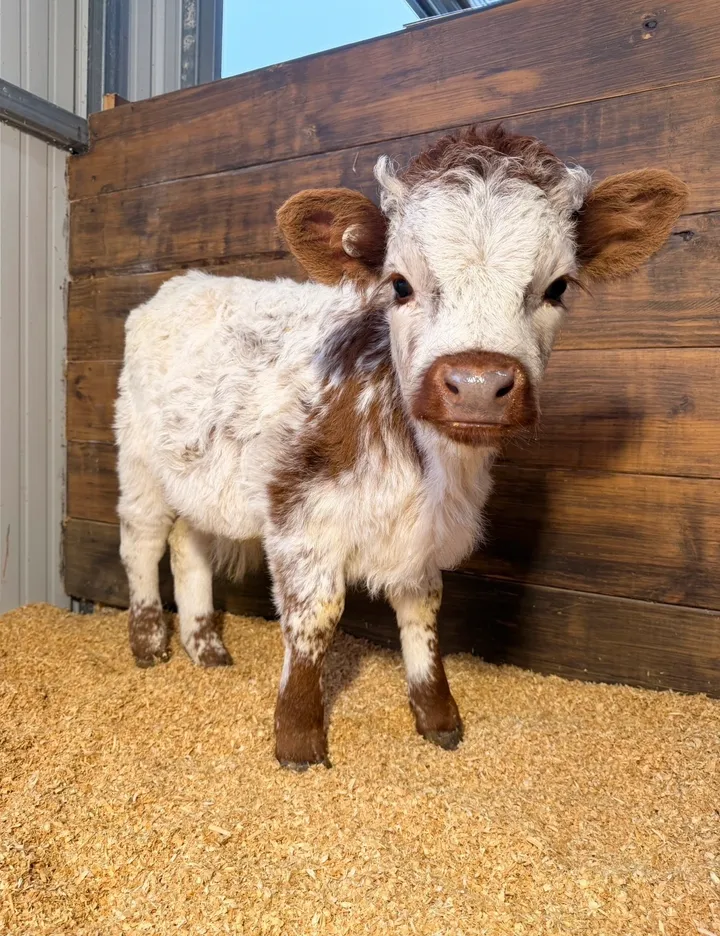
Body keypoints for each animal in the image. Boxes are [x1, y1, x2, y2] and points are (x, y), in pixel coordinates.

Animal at [114, 125, 687, 769]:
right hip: (137, 456)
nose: (478, 384)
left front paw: (438, 718)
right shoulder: (299, 516)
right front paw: (298, 740)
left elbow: (423, 614)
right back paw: (149, 643)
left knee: (189, 544)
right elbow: (315, 620)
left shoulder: (422, 538)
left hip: (202, 473)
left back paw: (206, 646)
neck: (428, 475)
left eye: (558, 287)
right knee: (142, 539)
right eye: (400, 285)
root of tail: (189, 280)